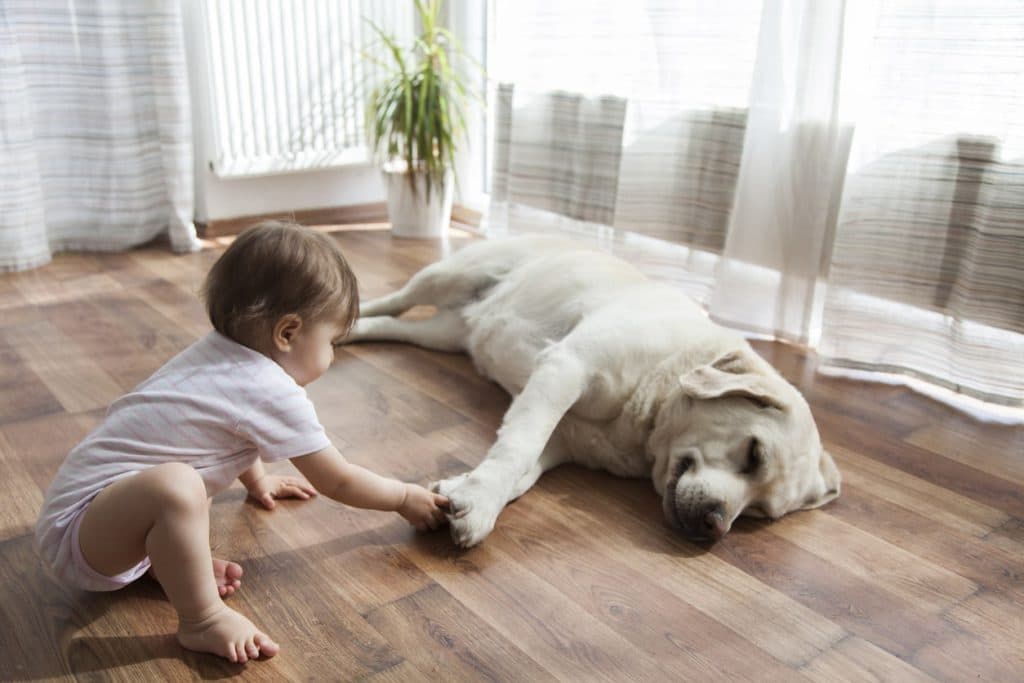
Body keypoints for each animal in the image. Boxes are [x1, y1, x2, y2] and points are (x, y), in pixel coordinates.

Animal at [344, 237, 839, 548]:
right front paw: (480, 503)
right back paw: (338, 323)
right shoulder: (565, 369)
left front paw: (464, 493)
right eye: (754, 454)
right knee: (393, 300)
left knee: (392, 324)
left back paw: (350, 334)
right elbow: (517, 449)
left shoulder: (561, 440)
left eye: (759, 513)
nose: (715, 527)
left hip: (444, 335)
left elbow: (521, 470)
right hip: (449, 276)